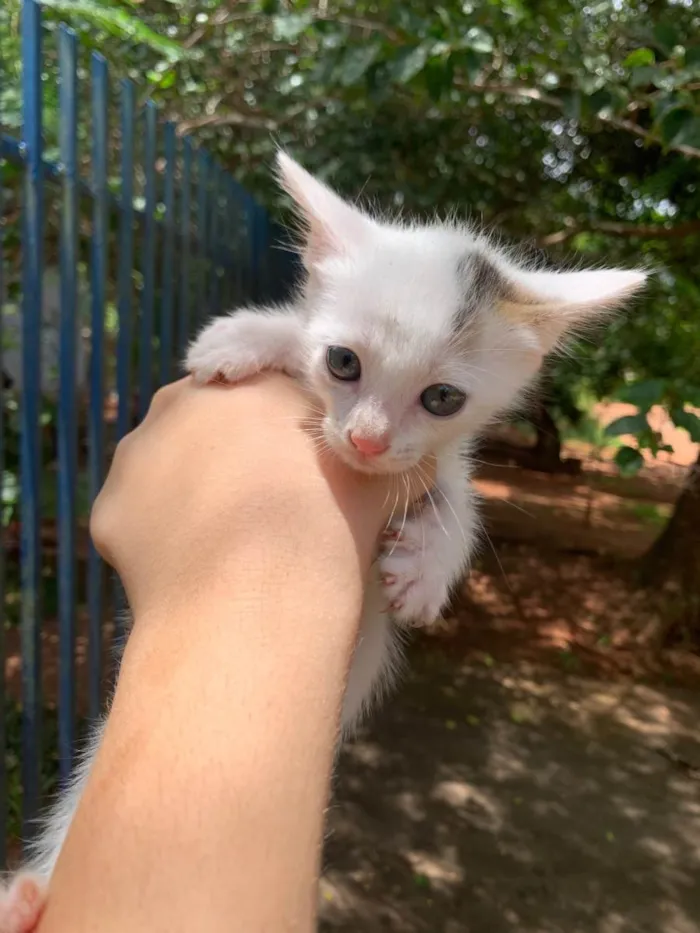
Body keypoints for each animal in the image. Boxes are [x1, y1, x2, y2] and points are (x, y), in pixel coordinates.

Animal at [0, 153, 644, 924]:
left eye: (442, 398)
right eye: (342, 363)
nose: (366, 439)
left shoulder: (441, 456)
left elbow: (459, 500)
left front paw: (426, 568)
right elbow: (284, 333)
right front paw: (246, 338)